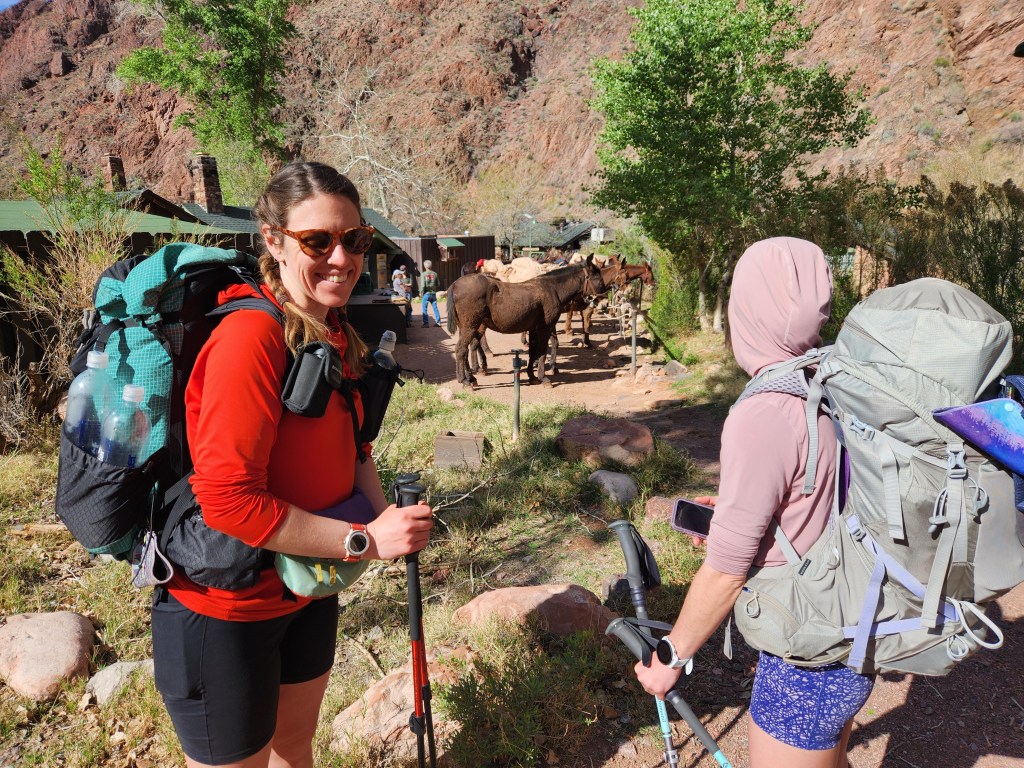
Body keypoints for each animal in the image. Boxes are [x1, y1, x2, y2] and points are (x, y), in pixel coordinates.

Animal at [447, 256, 607, 387]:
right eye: (598, 278)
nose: (603, 299)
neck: (553, 289)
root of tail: (455, 285)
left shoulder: (534, 329)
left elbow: (532, 352)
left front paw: (532, 376)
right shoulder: (545, 329)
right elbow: (542, 351)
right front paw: (543, 377)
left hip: (467, 328)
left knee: (466, 350)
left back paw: (471, 377)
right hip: (470, 327)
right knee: (461, 350)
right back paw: (465, 380)